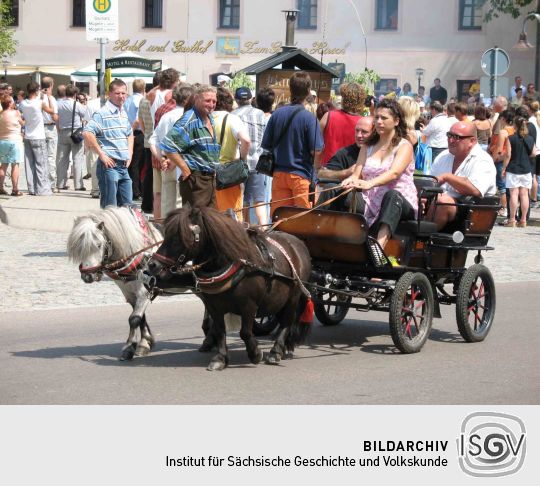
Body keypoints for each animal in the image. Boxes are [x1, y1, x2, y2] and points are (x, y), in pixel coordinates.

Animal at [66, 206, 162, 360]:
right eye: (79, 247)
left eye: (99, 245)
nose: (87, 276)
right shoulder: (129, 292)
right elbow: (140, 318)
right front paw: (145, 343)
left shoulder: (145, 290)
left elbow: (134, 319)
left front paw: (130, 347)